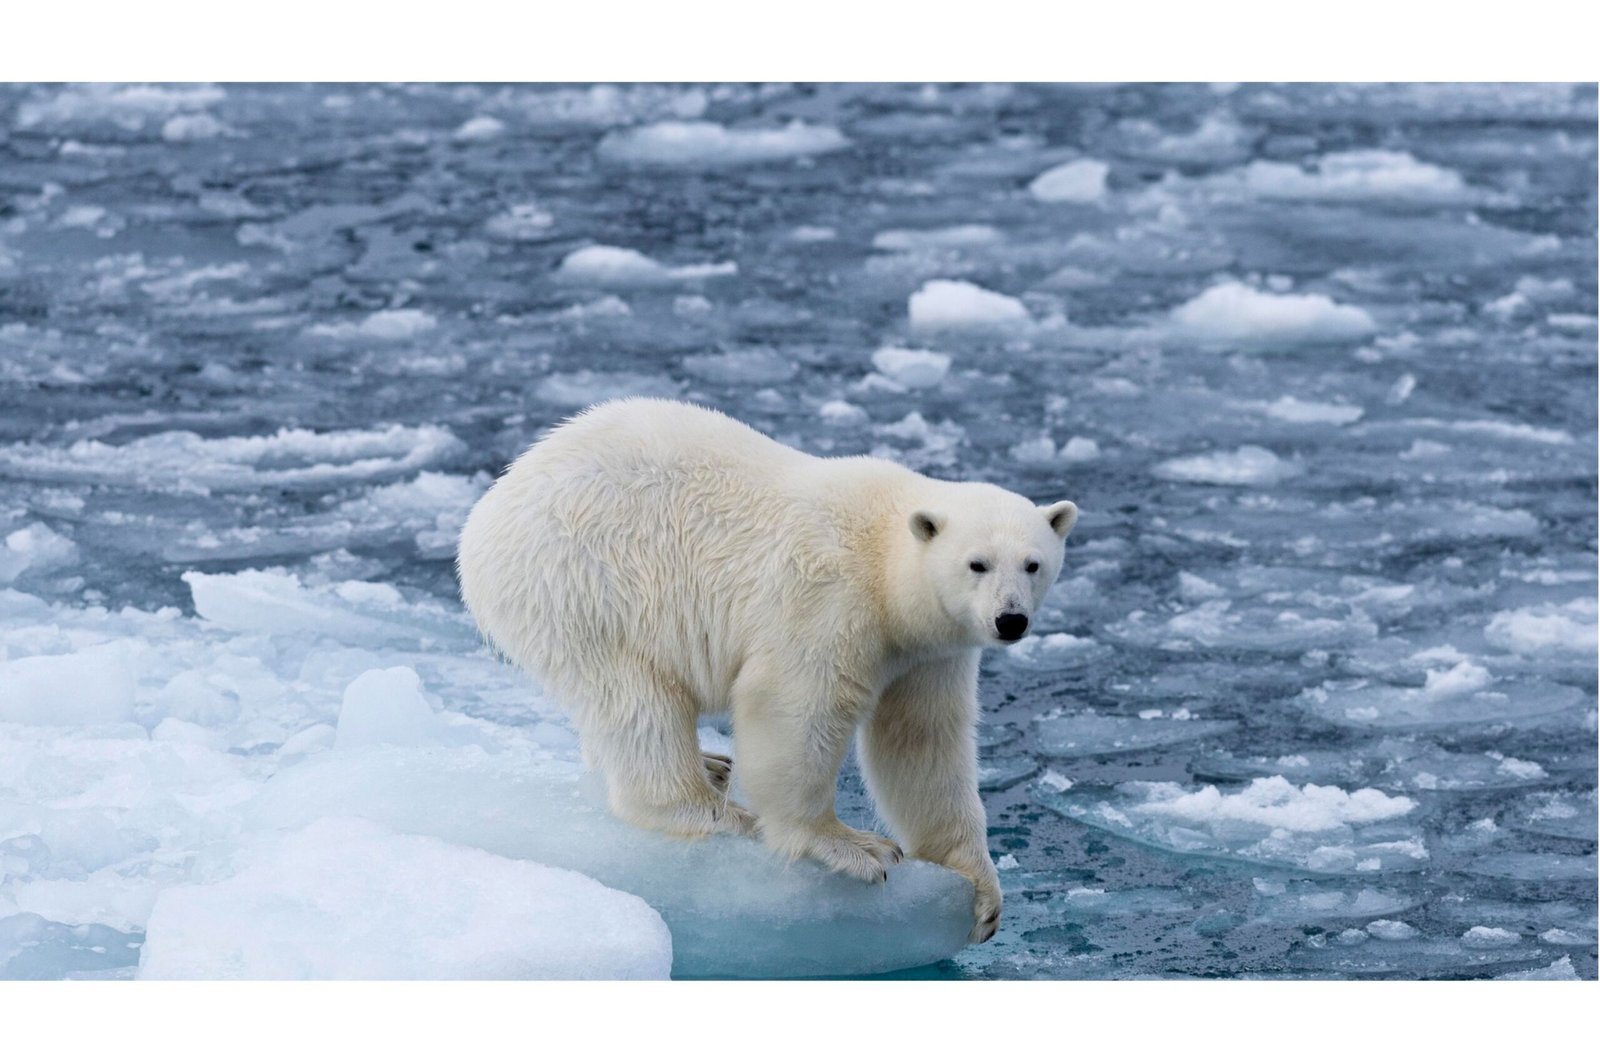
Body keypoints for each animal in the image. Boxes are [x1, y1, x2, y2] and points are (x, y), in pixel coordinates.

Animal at [457, 398, 1078, 942]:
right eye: (977, 563)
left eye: (1033, 563)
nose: (1010, 619)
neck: (884, 563)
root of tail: (488, 515)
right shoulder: (829, 598)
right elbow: (794, 706)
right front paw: (855, 847)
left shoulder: (928, 652)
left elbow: (922, 742)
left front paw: (980, 890)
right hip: (589, 582)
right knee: (637, 699)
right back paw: (713, 808)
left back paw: (709, 765)